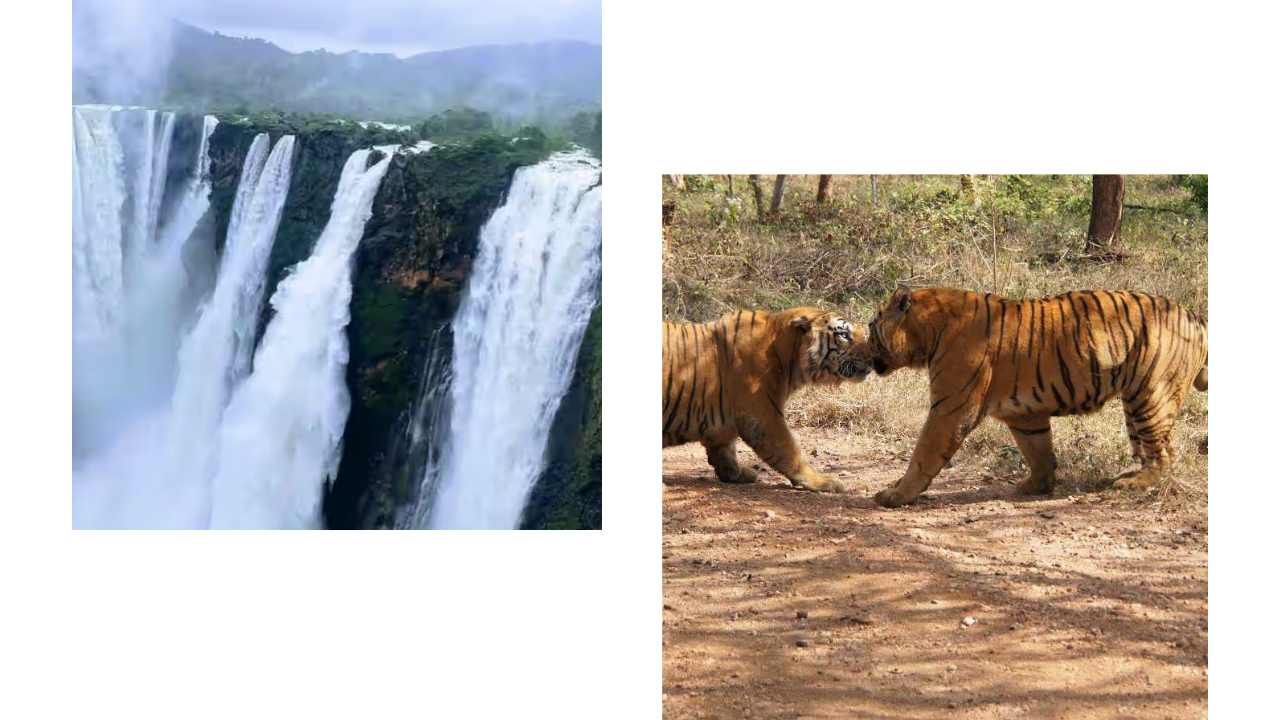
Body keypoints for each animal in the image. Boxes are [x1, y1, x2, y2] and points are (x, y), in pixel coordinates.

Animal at [662, 307, 873, 493]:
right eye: (844, 334)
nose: (873, 358)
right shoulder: (764, 415)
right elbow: (789, 451)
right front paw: (821, 481)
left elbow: (725, 449)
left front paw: (737, 473)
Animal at [866, 286, 1208, 508]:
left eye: (872, 326)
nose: (862, 346)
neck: (926, 333)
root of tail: (1194, 316)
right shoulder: (1024, 413)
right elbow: (1038, 450)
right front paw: (1038, 485)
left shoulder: (950, 409)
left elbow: (924, 453)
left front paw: (897, 494)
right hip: (1133, 400)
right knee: (1147, 448)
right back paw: (1121, 476)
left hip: (1151, 395)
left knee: (1165, 451)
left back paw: (1133, 483)